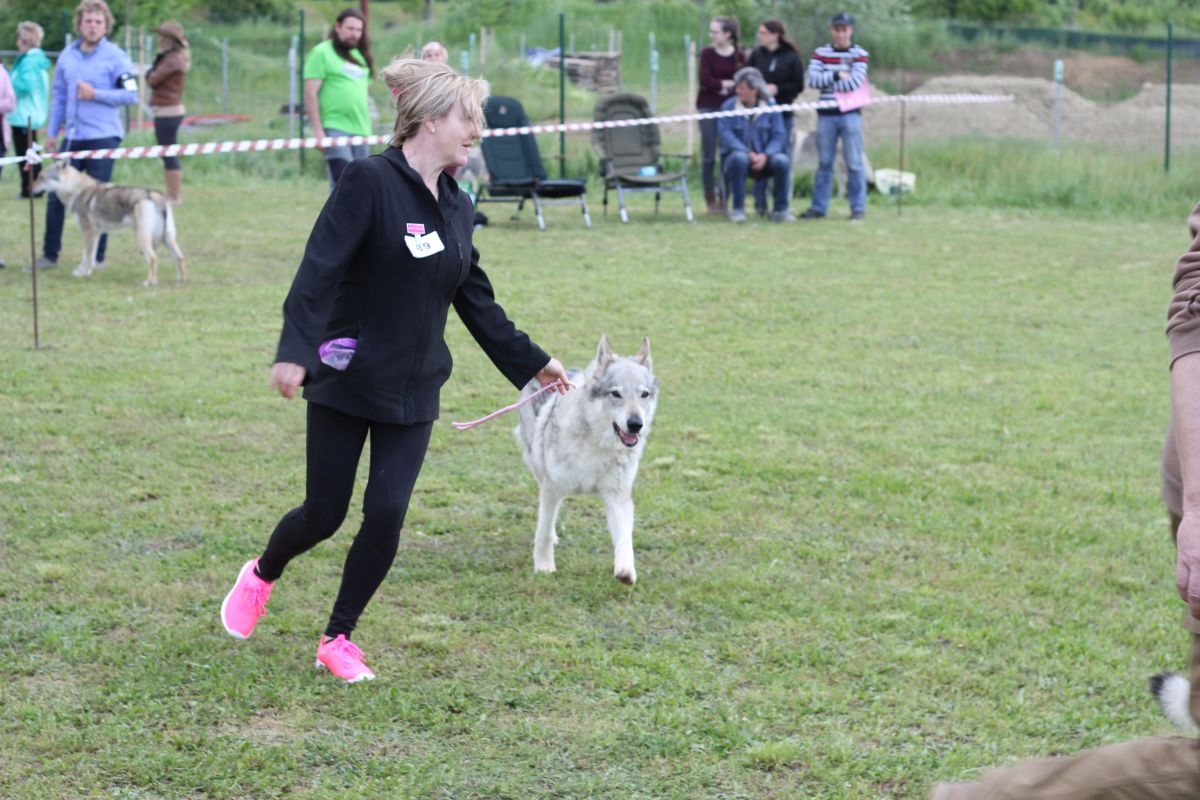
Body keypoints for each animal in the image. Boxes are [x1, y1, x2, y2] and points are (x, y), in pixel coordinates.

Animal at [513, 335, 662, 585]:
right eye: (616, 394)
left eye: (644, 395)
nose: (635, 424)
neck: (597, 442)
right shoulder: (552, 487)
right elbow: (543, 532)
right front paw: (544, 566)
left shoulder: (617, 494)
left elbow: (625, 538)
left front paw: (625, 570)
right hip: (538, 466)